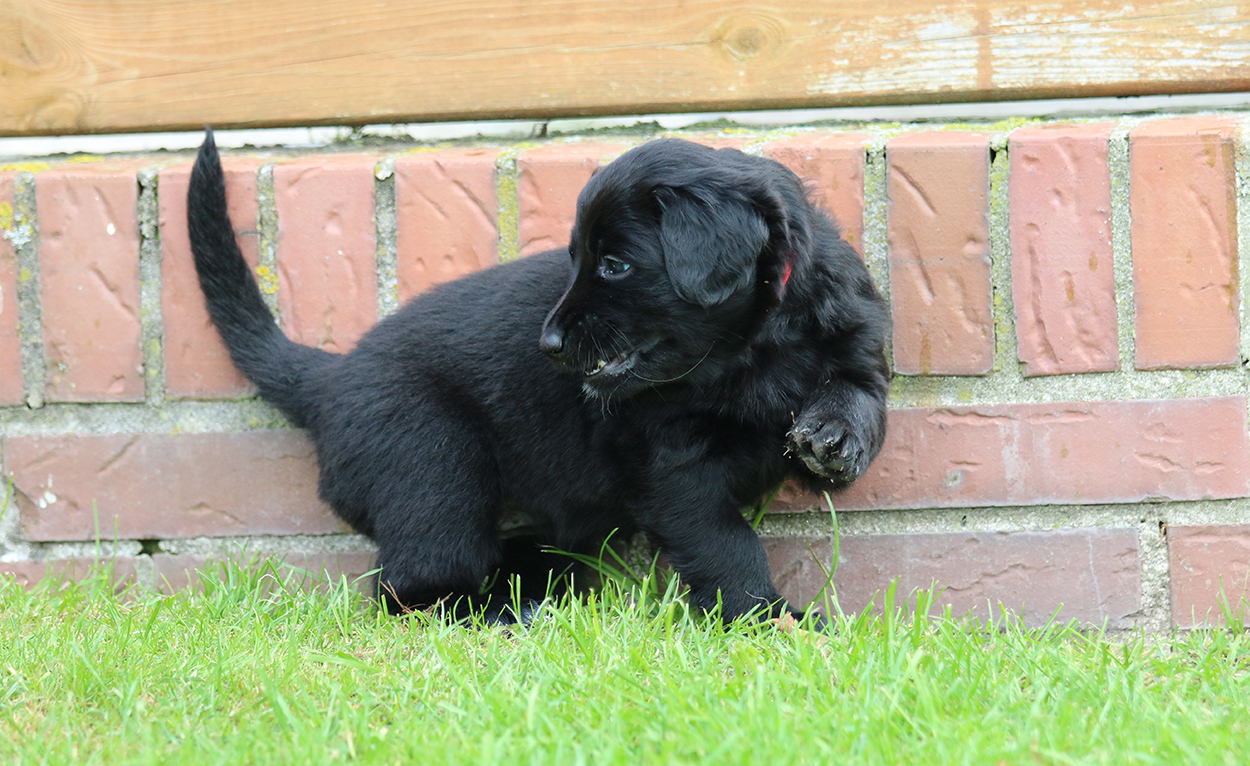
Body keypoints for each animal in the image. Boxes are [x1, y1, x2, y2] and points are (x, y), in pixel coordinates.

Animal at [187, 132, 890, 625]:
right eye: (577, 259)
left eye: (613, 264)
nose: (546, 344)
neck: (746, 353)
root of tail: (330, 379)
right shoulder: (672, 469)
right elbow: (724, 543)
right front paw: (767, 621)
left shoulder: (854, 340)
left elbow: (858, 389)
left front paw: (835, 435)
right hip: (431, 464)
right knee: (413, 586)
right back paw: (501, 616)